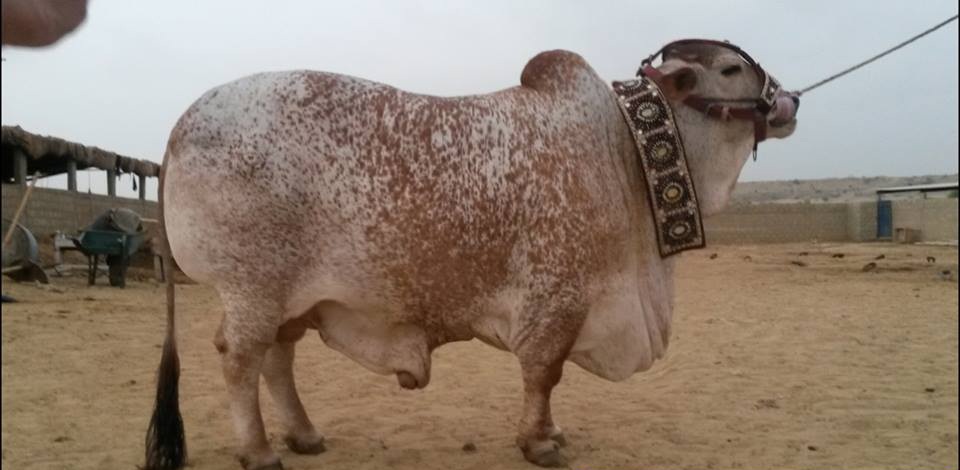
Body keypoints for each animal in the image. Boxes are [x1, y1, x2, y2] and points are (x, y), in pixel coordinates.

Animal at [145, 41, 798, 470]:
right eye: (732, 68)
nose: (790, 99)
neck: (621, 150)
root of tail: (179, 126)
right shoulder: (558, 300)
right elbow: (544, 374)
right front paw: (539, 442)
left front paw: (551, 434)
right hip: (253, 290)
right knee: (240, 360)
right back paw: (257, 451)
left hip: (290, 299)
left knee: (277, 362)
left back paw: (304, 436)